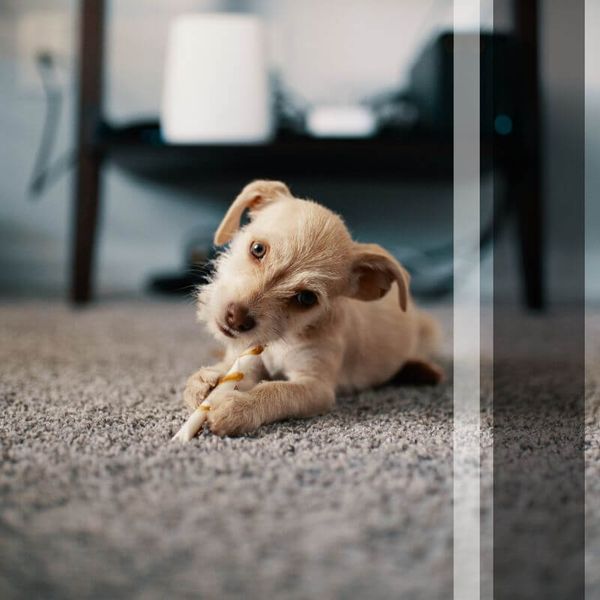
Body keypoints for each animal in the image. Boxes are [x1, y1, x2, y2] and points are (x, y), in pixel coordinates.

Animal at [185, 179, 442, 436]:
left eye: (306, 298)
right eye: (257, 249)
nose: (236, 319)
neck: (283, 340)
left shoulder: (316, 386)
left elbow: (277, 391)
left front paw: (238, 406)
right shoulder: (249, 359)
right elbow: (231, 370)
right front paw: (206, 380)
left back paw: (422, 370)